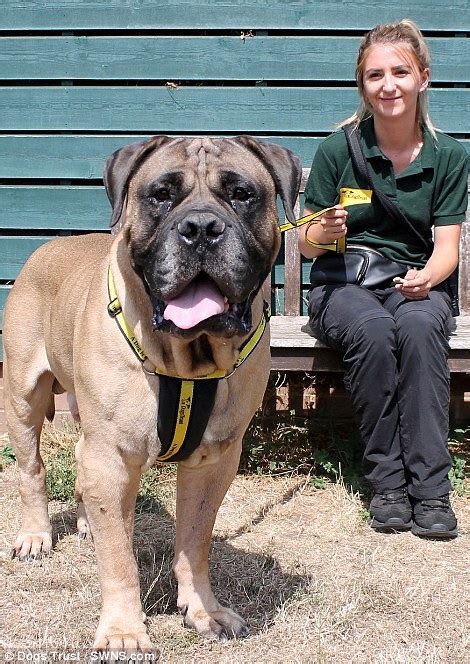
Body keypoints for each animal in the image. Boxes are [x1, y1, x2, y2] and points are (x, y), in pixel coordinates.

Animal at [3, 134, 302, 648]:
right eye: (161, 195)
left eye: (241, 194)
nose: (201, 228)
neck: (188, 357)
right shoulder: (110, 454)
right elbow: (119, 558)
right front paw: (124, 630)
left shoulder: (214, 461)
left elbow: (196, 541)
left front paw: (205, 610)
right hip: (23, 398)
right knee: (31, 469)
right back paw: (36, 536)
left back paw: (86, 522)